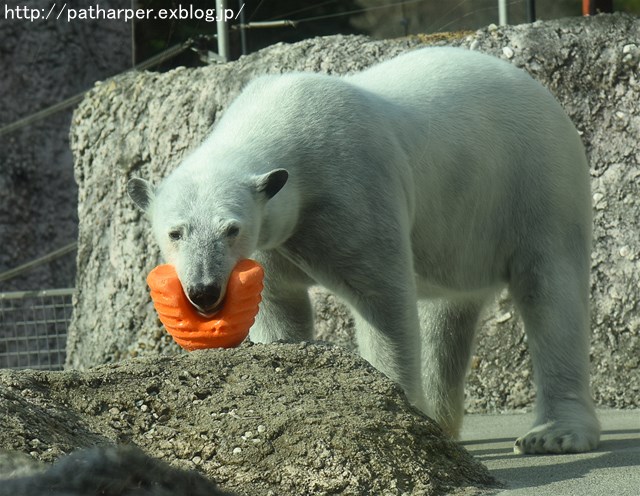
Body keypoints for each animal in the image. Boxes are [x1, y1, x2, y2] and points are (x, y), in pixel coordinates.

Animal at [129, 46, 600, 454]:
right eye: (176, 232)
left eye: (231, 229)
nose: (204, 291)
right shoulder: (273, 239)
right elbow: (278, 305)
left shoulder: (350, 189)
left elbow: (381, 302)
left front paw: (397, 413)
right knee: (446, 315)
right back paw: (444, 424)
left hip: (535, 179)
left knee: (551, 291)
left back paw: (553, 434)